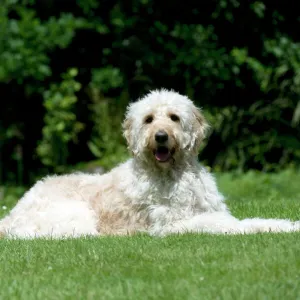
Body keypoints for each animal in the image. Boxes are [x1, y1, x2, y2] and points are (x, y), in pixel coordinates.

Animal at [0, 90, 300, 238]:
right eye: (148, 119)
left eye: (174, 117)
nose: (161, 136)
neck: (174, 174)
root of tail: (11, 215)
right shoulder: (173, 224)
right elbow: (225, 224)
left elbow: (251, 221)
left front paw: (286, 226)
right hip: (75, 215)